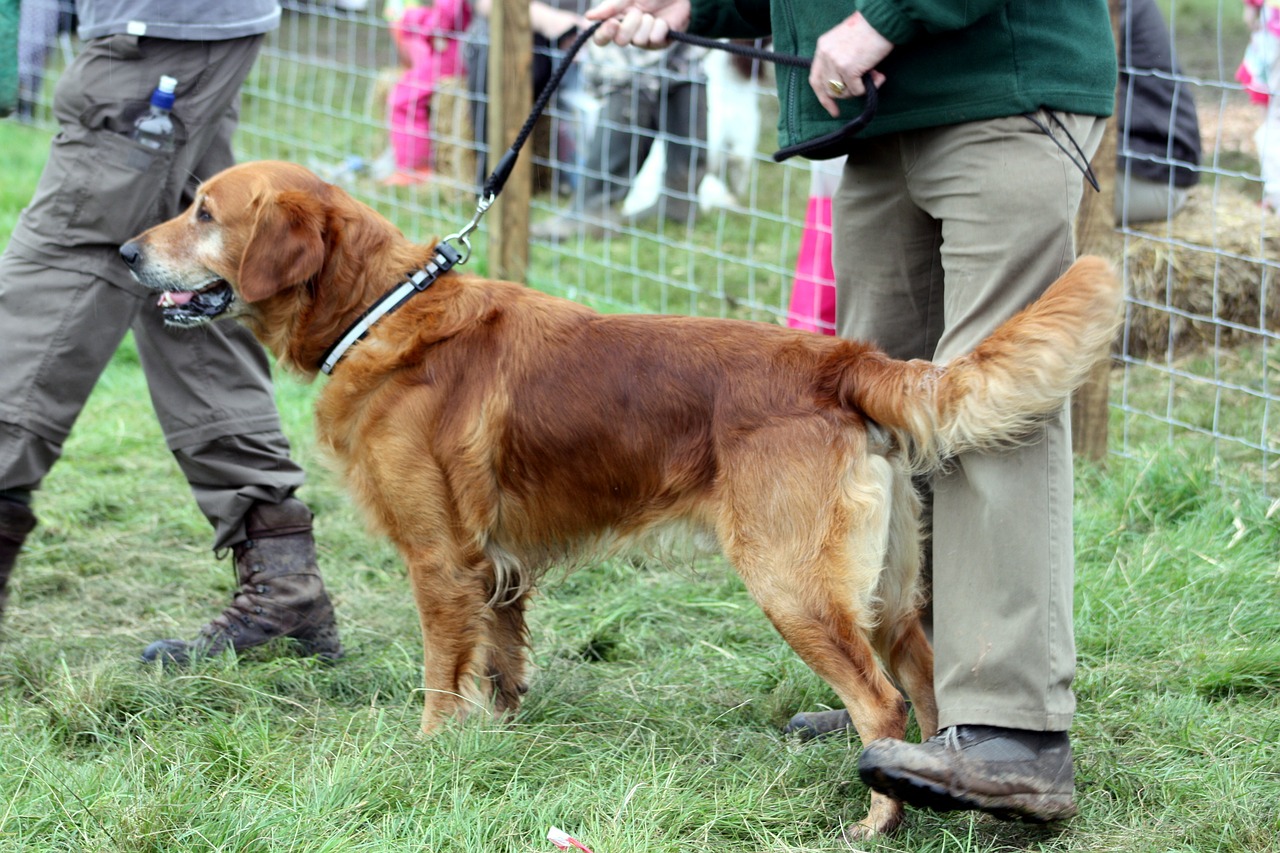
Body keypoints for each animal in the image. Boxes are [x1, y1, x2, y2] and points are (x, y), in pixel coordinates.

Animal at [120, 161, 1121, 835]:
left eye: (202, 212)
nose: (124, 251)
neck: (381, 309)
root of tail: (844, 361)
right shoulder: (499, 567)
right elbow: (501, 666)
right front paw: (496, 741)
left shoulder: (440, 560)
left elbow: (441, 675)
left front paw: (430, 748)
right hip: (886, 590)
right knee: (921, 681)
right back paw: (926, 787)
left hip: (793, 584)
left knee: (881, 703)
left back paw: (876, 821)